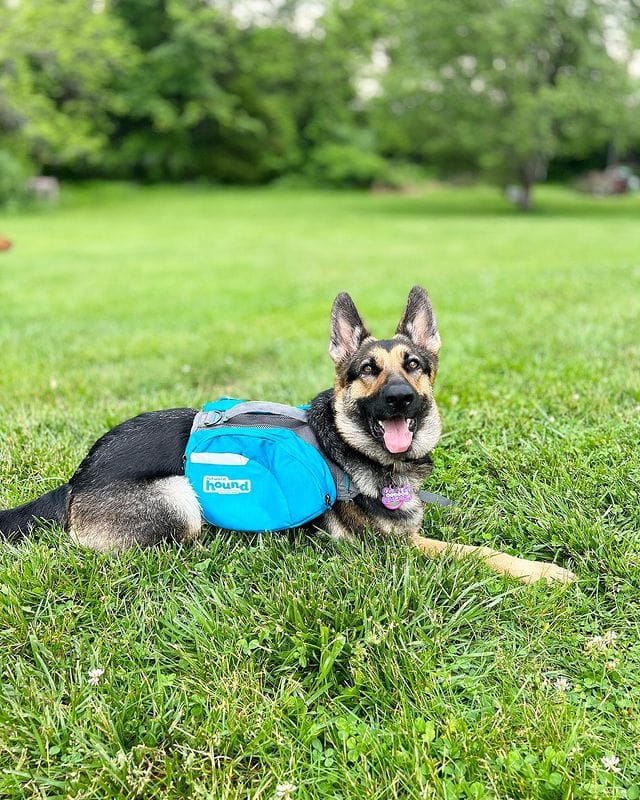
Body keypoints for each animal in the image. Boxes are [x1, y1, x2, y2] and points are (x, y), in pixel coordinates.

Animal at [0, 286, 576, 580]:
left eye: (413, 365)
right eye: (367, 370)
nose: (399, 398)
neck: (350, 446)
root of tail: (78, 477)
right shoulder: (402, 548)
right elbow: (477, 552)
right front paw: (545, 571)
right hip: (181, 498)